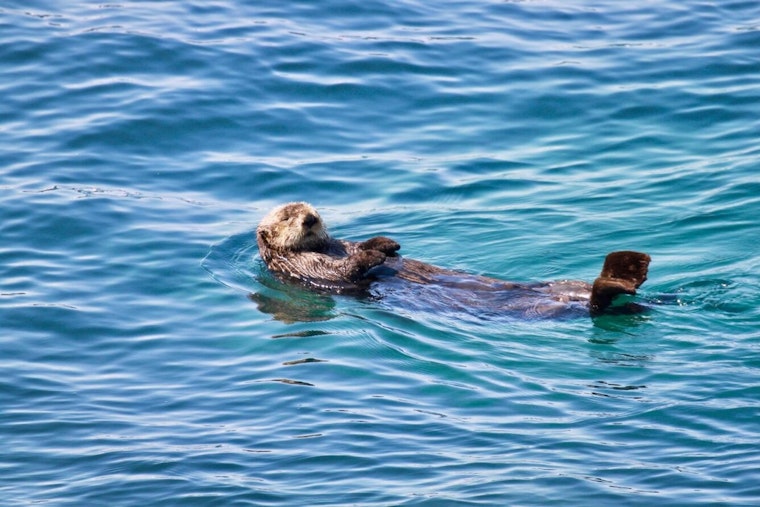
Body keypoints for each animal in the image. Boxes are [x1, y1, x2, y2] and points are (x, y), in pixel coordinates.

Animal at [256, 202, 651, 317]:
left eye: (314, 210)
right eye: (287, 217)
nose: (310, 219)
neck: (324, 248)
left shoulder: (341, 244)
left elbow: (358, 246)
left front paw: (386, 244)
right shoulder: (307, 269)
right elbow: (348, 270)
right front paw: (375, 253)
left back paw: (631, 270)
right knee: (598, 304)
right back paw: (624, 275)